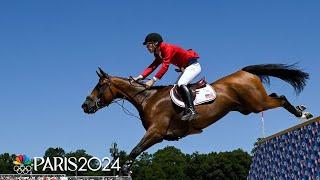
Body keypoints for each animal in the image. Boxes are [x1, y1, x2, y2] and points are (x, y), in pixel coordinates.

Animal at [80, 63, 312, 174]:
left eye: (99, 86)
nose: (85, 106)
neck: (147, 99)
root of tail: (244, 71)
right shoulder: (157, 135)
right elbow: (135, 150)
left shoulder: (156, 133)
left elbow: (136, 149)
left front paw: (124, 170)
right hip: (248, 107)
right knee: (275, 96)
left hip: (257, 104)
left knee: (280, 99)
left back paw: (303, 114)